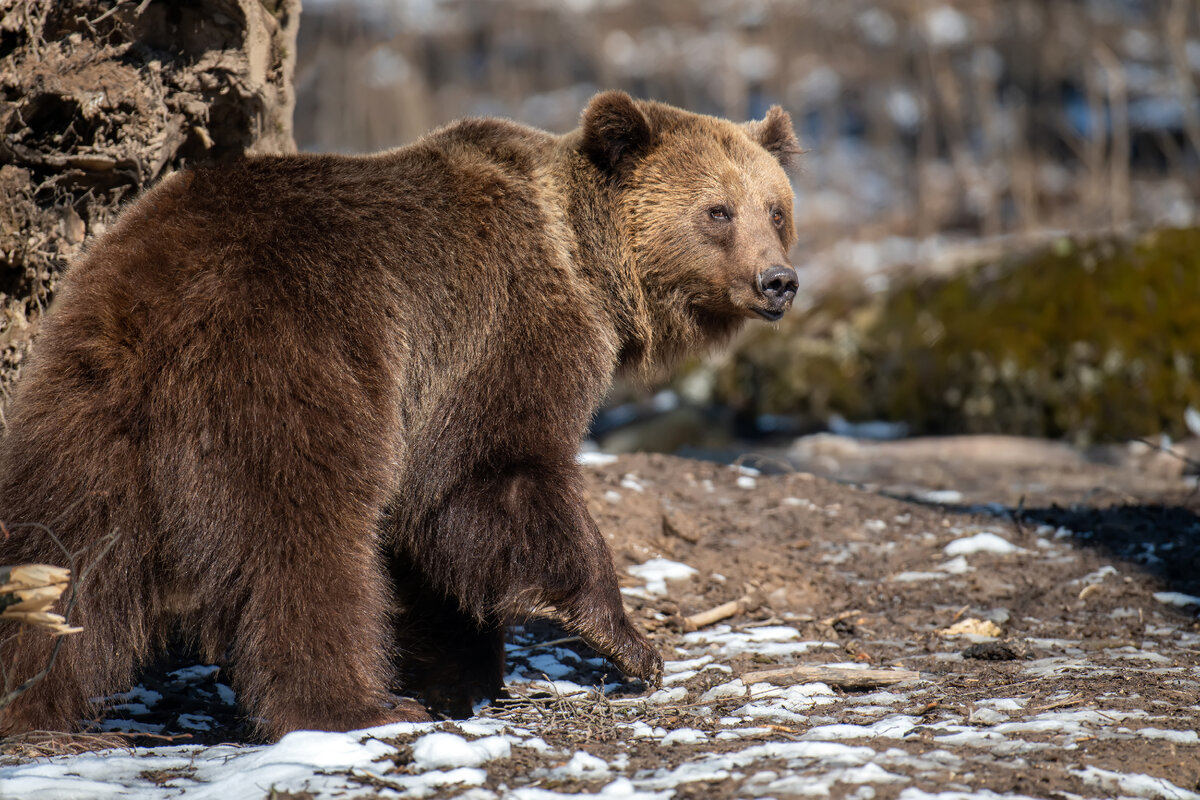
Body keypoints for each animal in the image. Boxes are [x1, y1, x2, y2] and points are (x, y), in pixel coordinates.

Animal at [4, 90, 801, 743]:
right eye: (717, 211)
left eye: (776, 209)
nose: (779, 281)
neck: (588, 264)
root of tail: (154, 296)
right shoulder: (502, 331)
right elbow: (488, 474)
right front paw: (625, 639)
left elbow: (433, 542)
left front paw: (463, 670)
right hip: (292, 360)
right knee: (305, 539)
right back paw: (353, 705)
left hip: (82, 402)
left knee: (58, 541)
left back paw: (28, 695)